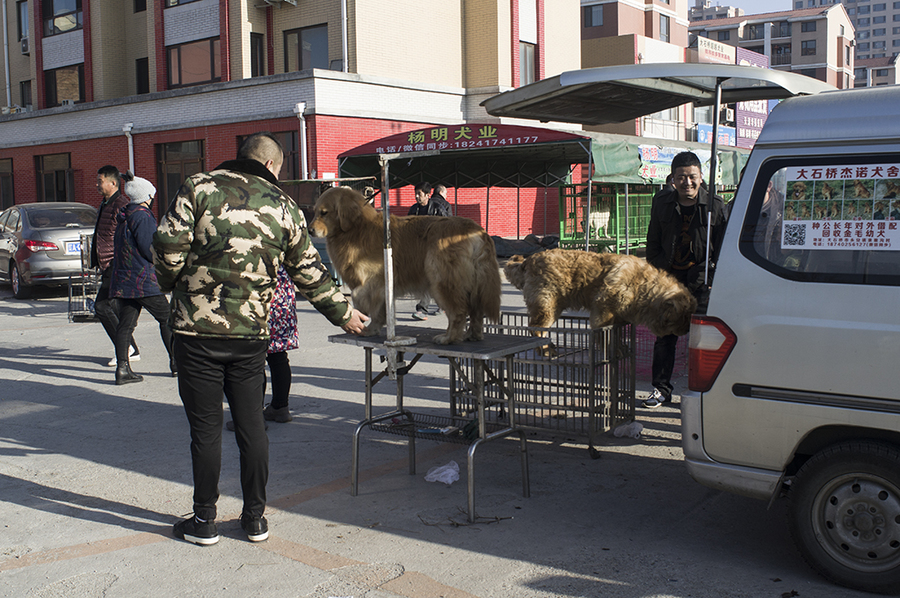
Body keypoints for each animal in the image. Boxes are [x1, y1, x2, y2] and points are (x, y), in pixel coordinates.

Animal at [306, 188, 496, 346]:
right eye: (314, 212)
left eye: (324, 213)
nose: (309, 230)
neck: (356, 229)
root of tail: (478, 231)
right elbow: (381, 311)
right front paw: (374, 329)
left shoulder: (374, 282)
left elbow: (365, 301)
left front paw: (366, 324)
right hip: (472, 286)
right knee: (475, 310)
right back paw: (472, 335)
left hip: (441, 280)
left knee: (458, 312)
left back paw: (449, 338)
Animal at [502, 250, 700, 342]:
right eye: (684, 317)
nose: (688, 330)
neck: (644, 287)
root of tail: (528, 260)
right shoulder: (603, 310)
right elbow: (604, 335)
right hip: (547, 306)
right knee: (536, 328)